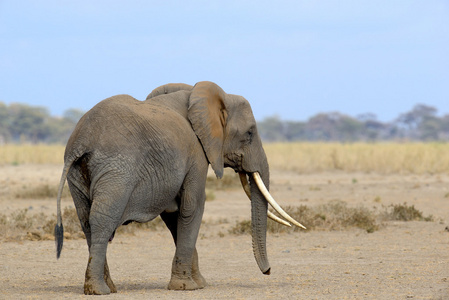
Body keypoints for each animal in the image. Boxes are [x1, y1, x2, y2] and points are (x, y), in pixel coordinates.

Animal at [53, 81, 304, 294]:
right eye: (250, 133)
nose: (268, 271)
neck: (197, 95)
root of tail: (81, 141)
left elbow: (174, 216)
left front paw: (199, 283)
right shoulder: (197, 155)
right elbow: (192, 208)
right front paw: (187, 287)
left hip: (77, 174)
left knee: (86, 220)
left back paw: (108, 287)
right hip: (117, 170)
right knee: (102, 220)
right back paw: (99, 291)